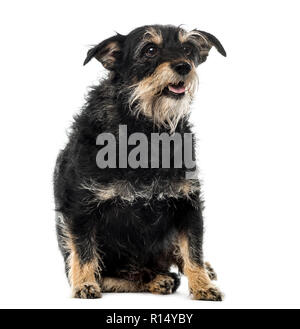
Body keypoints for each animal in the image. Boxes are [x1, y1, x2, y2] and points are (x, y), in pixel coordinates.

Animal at [53, 24, 225, 298]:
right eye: (150, 50)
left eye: (188, 49)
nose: (184, 66)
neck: (146, 130)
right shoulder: (80, 205)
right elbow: (84, 250)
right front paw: (84, 284)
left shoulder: (188, 202)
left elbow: (194, 249)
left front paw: (202, 285)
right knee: (117, 275)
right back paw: (157, 280)